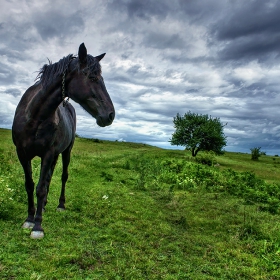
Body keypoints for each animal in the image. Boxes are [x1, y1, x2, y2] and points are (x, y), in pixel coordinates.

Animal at [11, 43, 115, 238]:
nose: (111, 115)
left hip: (66, 152)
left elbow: (40, 188)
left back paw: (60, 205)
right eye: (92, 77)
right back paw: (43, 207)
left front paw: (38, 226)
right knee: (49, 178)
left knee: (62, 177)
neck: (34, 117)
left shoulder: (47, 153)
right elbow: (30, 185)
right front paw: (29, 219)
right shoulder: (22, 153)